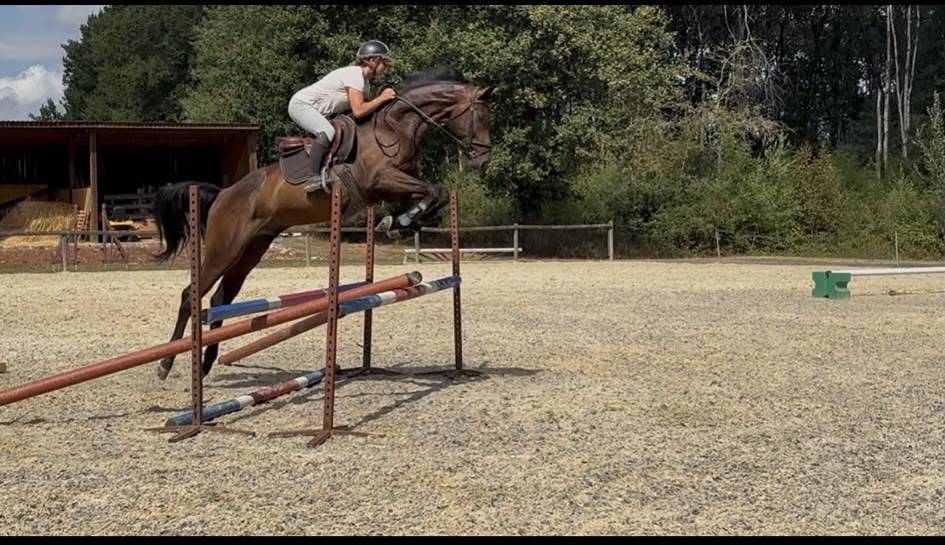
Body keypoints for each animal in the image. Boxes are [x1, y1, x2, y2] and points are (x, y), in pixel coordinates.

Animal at [152, 66, 496, 380]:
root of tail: (223, 193)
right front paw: (401, 221)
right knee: (191, 295)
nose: (482, 161)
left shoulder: (393, 185)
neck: (396, 127)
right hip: (224, 248)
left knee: (220, 298)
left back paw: (206, 363)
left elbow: (435, 194)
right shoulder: (382, 179)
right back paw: (165, 364)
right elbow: (433, 191)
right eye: (480, 117)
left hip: (252, 248)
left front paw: (401, 223)